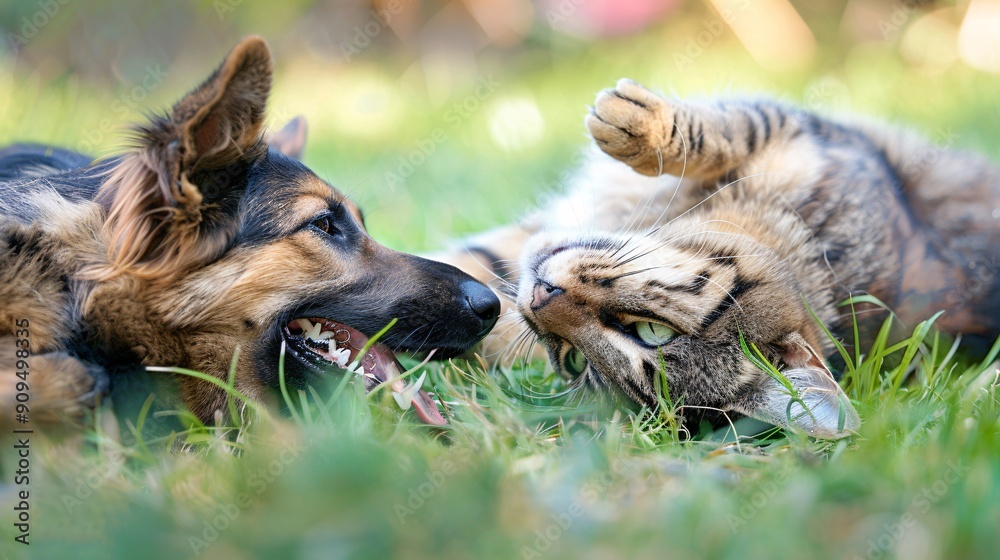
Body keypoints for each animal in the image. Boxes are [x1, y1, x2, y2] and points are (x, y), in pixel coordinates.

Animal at [436, 79, 1000, 438]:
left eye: (650, 333)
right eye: (574, 362)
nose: (538, 295)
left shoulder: (805, 133)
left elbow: (728, 128)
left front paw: (636, 120)